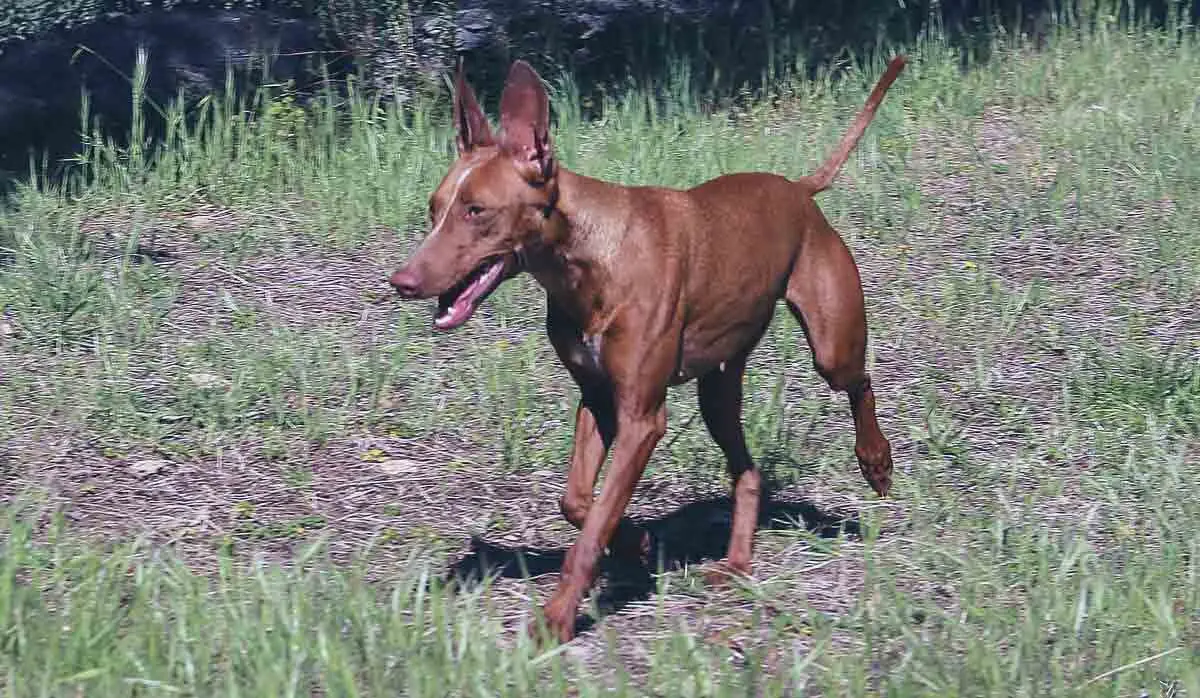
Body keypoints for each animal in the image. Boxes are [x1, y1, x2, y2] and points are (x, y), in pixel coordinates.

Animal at [388, 56, 902, 647]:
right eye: (434, 210)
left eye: (476, 211)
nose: (401, 282)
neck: (588, 260)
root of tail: (797, 190)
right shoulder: (600, 402)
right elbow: (579, 503)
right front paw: (632, 541)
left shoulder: (641, 419)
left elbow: (590, 530)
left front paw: (558, 616)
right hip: (717, 389)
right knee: (748, 472)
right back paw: (736, 563)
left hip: (831, 347)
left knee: (859, 382)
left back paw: (876, 462)